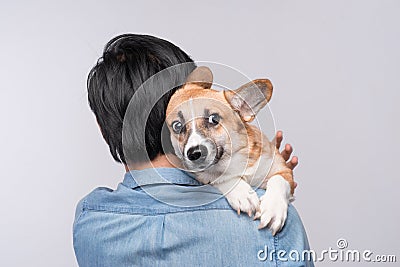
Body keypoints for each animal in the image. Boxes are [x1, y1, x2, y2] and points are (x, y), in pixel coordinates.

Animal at [164, 67, 296, 237]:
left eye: (213, 119)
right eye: (177, 126)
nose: (193, 154)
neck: (234, 161)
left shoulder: (283, 170)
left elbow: (279, 181)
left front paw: (274, 209)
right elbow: (219, 177)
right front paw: (242, 193)